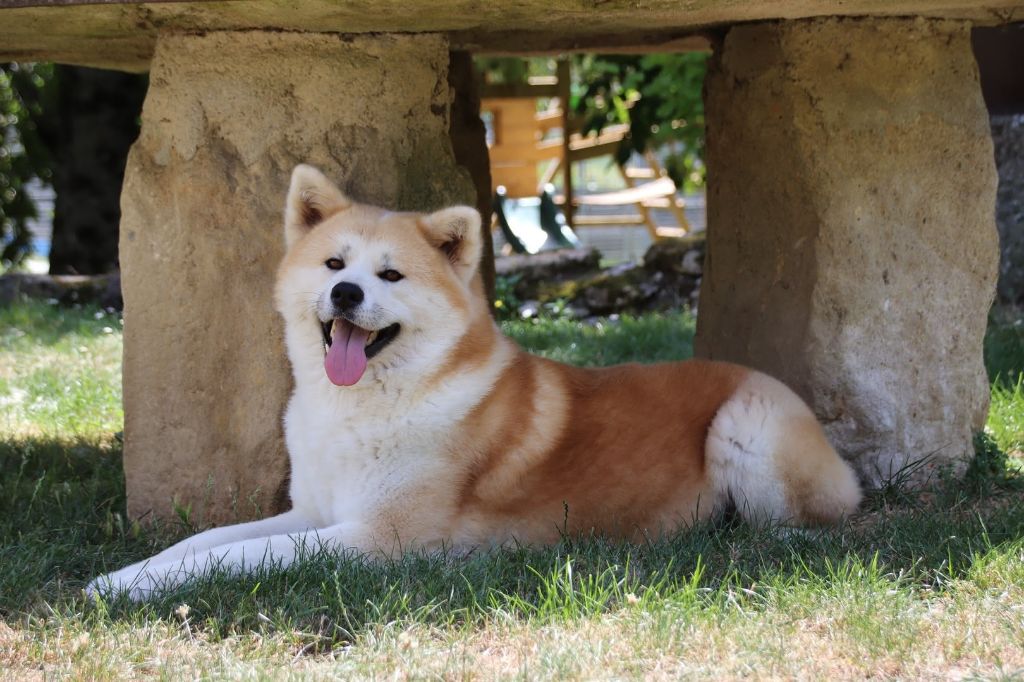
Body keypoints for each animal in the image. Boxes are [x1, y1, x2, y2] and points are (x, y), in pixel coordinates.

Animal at [88, 163, 860, 593]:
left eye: (390, 275)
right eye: (335, 264)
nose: (345, 294)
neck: (362, 410)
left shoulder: (382, 539)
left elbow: (240, 557)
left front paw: (128, 591)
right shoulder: (315, 511)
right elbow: (202, 543)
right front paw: (121, 577)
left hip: (745, 425)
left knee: (814, 520)